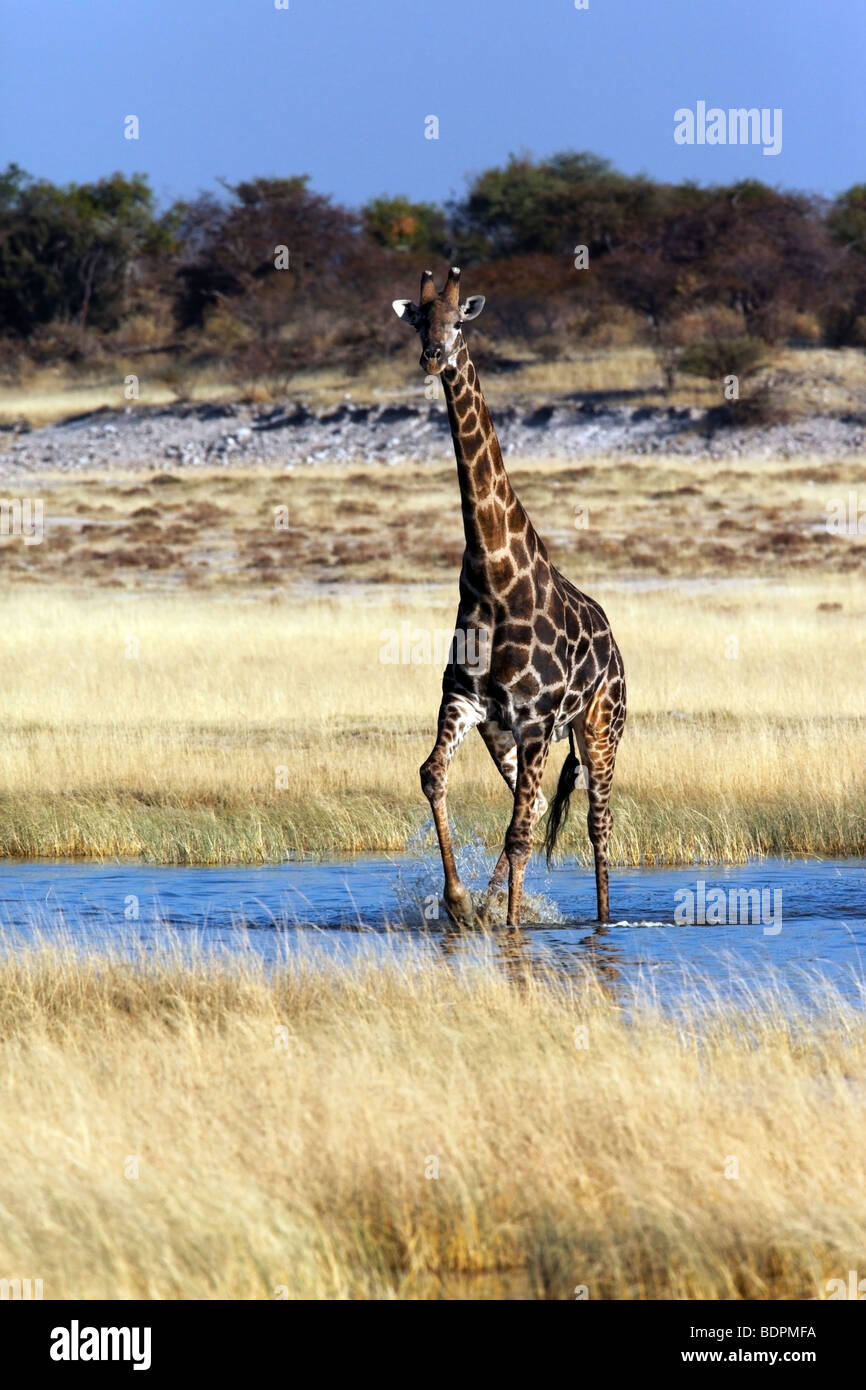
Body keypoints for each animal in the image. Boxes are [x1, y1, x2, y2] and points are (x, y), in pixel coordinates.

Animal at [394, 266, 631, 928]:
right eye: (419, 321)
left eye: (459, 321)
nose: (434, 357)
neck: (493, 573)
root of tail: (617, 650)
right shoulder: (467, 702)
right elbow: (432, 777)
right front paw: (459, 902)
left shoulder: (537, 720)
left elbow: (522, 834)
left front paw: (509, 924)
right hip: (507, 737)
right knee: (538, 807)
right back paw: (485, 901)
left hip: (598, 730)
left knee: (598, 824)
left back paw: (601, 920)